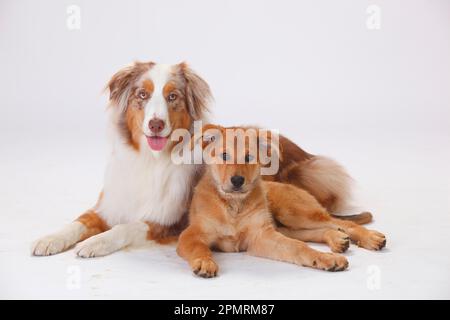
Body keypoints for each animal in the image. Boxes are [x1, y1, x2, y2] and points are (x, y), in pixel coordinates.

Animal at [178, 125, 384, 278]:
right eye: (224, 155)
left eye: (249, 157)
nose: (237, 181)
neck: (234, 205)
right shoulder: (191, 234)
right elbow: (199, 248)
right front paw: (205, 261)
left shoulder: (261, 236)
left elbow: (298, 247)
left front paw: (324, 258)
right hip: (287, 225)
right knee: (317, 231)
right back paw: (336, 239)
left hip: (294, 212)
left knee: (340, 222)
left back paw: (369, 237)